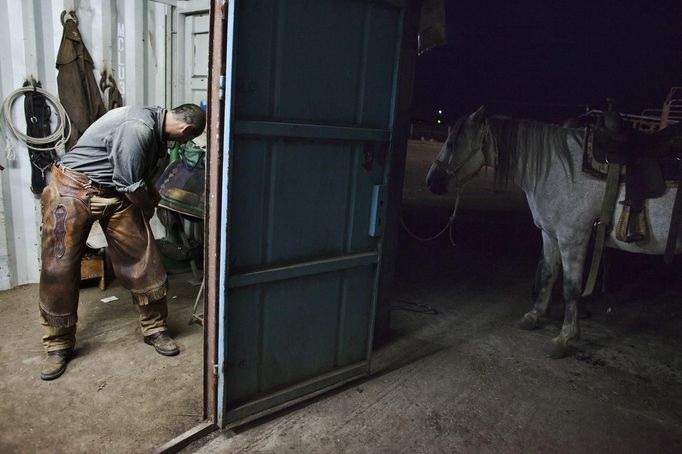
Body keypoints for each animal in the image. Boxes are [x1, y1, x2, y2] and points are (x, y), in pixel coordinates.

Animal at [422, 105, 676, 358]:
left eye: (452, 143)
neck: (561, 169)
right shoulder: (550, 234)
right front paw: (534, 315)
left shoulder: (572, 239)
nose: (431, 182)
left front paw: (565, 337)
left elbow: (571, 288)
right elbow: (548, 273)